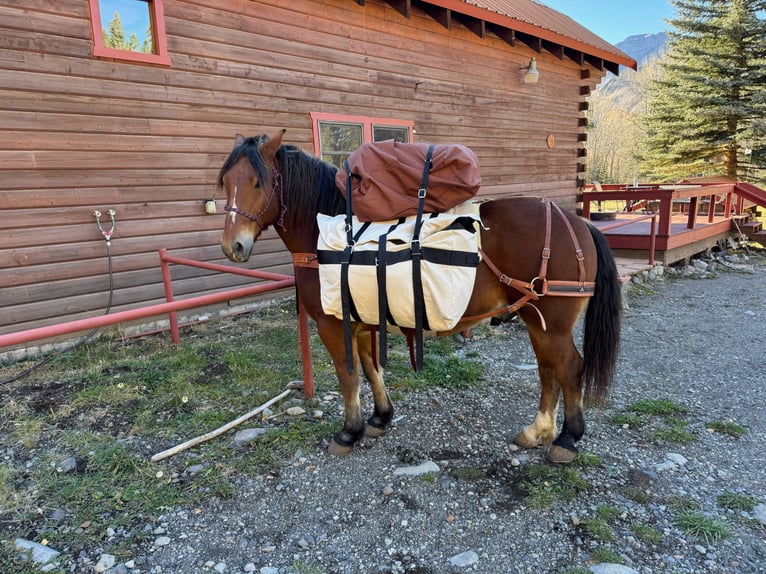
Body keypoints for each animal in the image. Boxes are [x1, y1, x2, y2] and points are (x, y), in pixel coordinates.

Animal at [218, 130, 624, 464]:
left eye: (257, 182)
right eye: (225, 183)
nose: (232, 246)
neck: (328, 237)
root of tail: (577, 223)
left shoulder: (335, 326)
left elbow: (348, 377)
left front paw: (349, 432)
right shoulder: (362, 322)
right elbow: (371, 369)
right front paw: (379, 417)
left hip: (552, 324)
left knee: (568, 368)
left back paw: (567, 439)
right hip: (536, 320)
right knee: (548, 370)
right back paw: (539, 431)